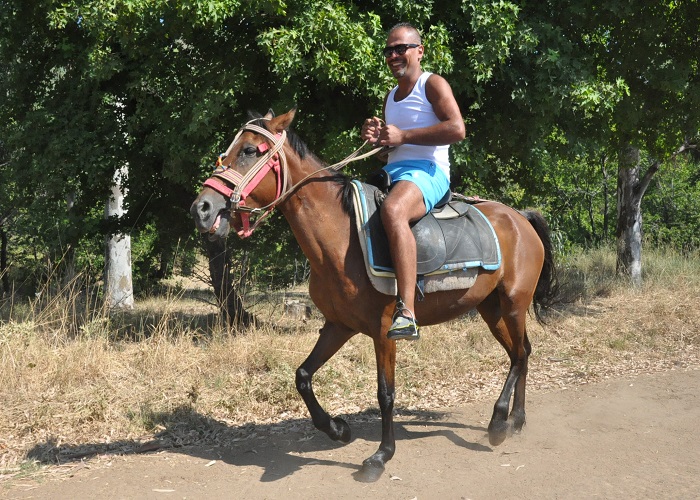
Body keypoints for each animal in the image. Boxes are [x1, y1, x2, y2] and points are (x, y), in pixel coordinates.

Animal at [190, 108, 558, 482]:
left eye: (251, 150)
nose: (202, 207)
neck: (341, 237)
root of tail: (519, 217)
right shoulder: (338, 325)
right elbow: (303, 376)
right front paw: (338, 429)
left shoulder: (384, 331)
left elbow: (385, 393)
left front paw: (381, 456)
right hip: (491, 308)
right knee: (522, 352)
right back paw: (516, 421)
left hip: (513, 303)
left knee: (519, 355)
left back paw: (499, 422)